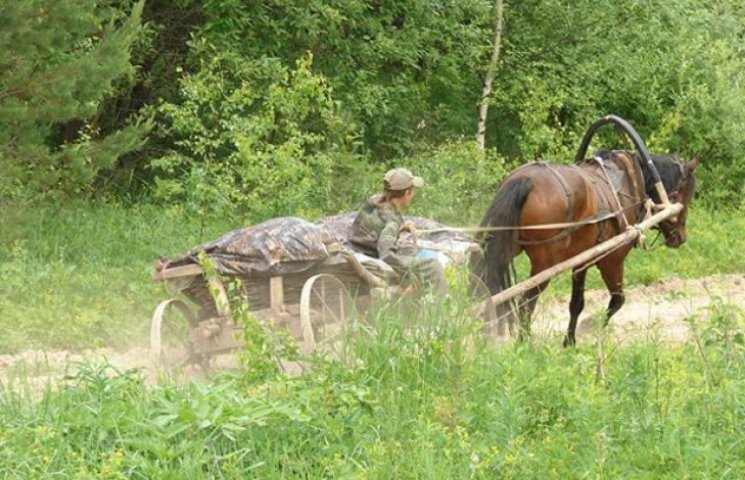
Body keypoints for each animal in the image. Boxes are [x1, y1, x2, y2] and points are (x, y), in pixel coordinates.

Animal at [476, 150, 696, 344]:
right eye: (685, 194)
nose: (681, 237)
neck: (633, 179)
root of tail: (526, 180)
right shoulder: (612, 259)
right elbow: (618, 300)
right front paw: (593, 329)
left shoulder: (582, 260)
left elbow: (577, 303)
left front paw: (570, 341)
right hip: (544, 265)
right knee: (524, 303)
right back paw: (523, 344)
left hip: (503, 249)